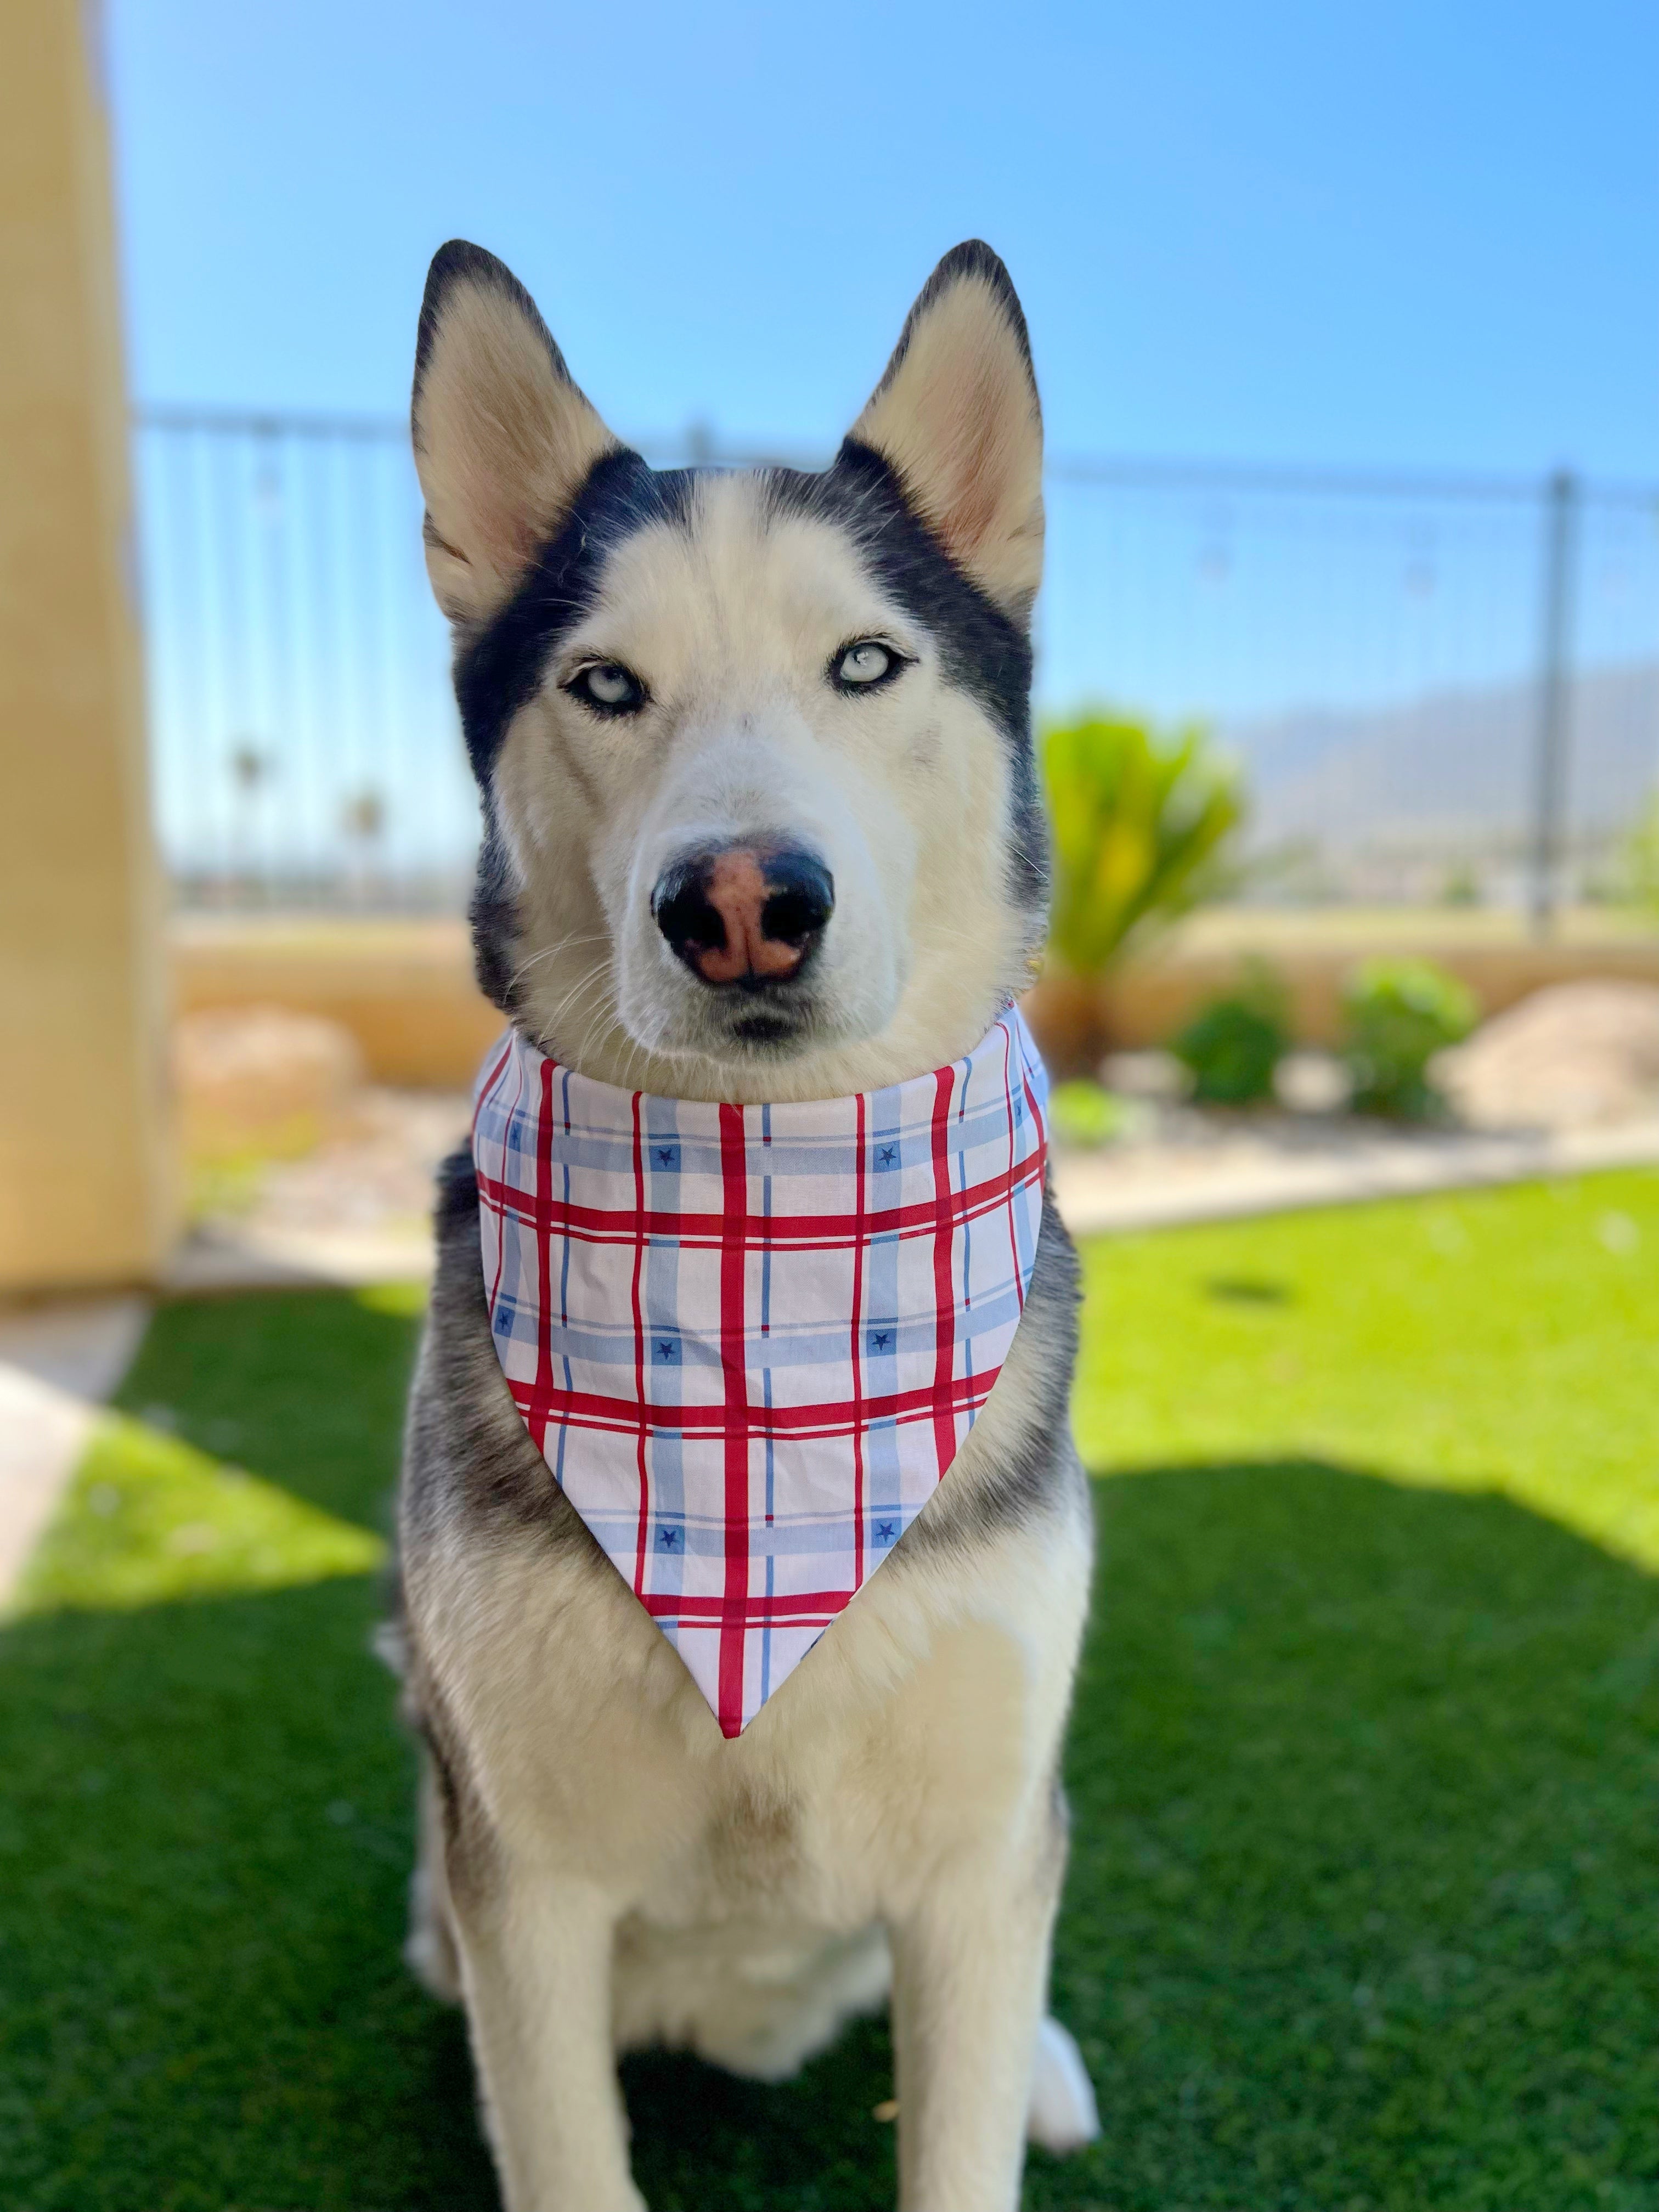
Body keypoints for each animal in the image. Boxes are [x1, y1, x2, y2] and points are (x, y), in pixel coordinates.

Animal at [396, 242, 1106, 2212]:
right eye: (604, 682)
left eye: (864, 661)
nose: (738, 902)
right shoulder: (525, 1880)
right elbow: (560, 2140)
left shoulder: (975, 1858)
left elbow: (961, 2130)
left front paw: (1006, 2081)